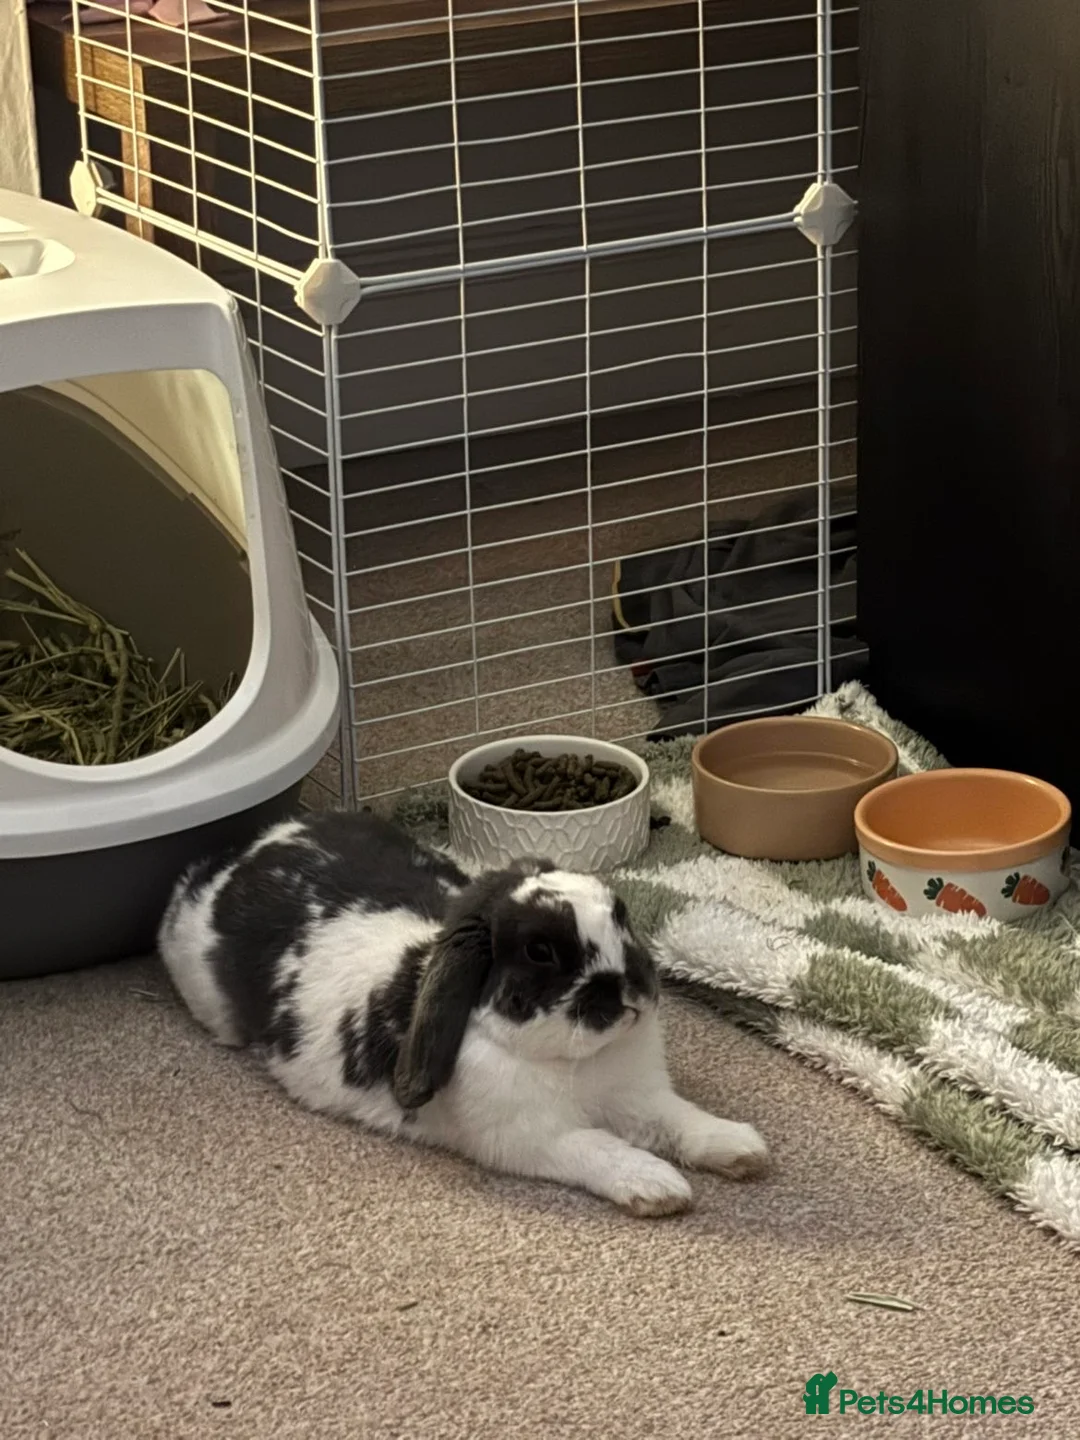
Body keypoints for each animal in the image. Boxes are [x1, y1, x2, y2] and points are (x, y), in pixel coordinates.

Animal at [158, 810, 769, 1216]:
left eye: (621, 915)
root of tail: (239, 857)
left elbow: (678, 1120)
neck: (577, 1060)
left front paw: (742, 1148)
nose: (631, 988)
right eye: (540, 952)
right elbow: (599, 1148)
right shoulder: (533, 1138)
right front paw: (658, 1187)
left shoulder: (641, 1098)